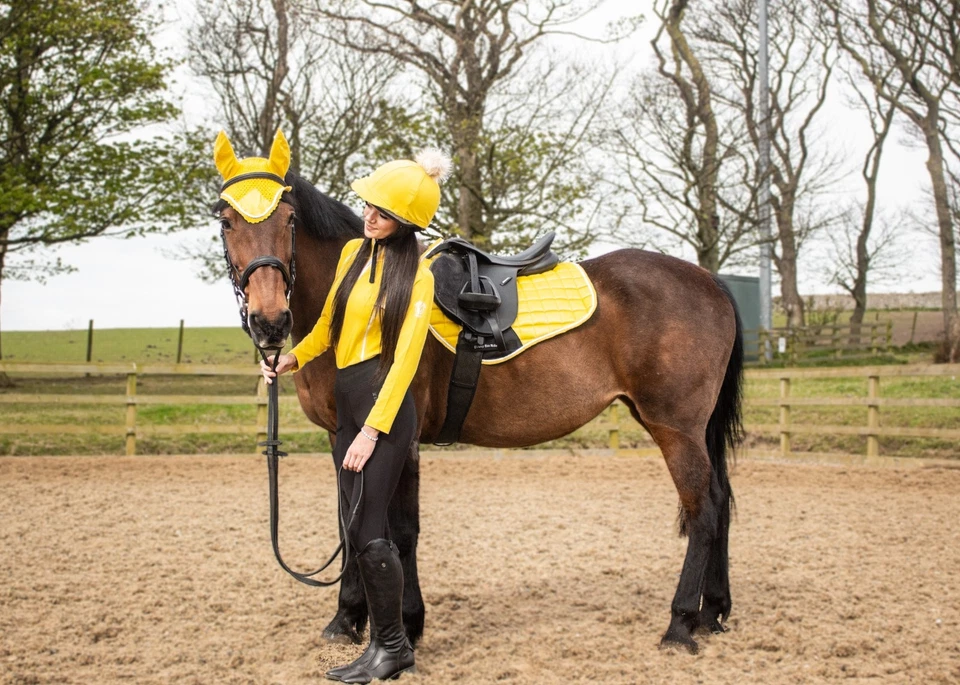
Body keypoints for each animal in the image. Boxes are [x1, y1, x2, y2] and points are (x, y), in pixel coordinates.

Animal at [216, 170, 744, 654]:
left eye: (289, 220)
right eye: (226, 222)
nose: (269, 322)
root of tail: (708, 279)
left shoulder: (397, 439)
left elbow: (401, 530)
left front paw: (409, 624)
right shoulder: (341, 437)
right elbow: (350, 520)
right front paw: (346, 619)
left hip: (675, 427)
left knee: (702, 510)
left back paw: (680, 624)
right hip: (688, 429)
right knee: (720, 501)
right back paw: (712, 612)